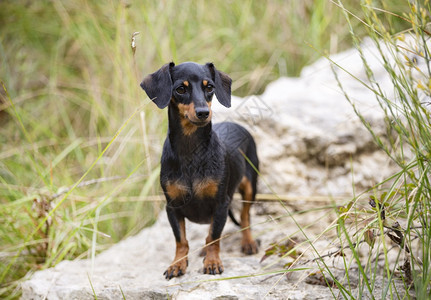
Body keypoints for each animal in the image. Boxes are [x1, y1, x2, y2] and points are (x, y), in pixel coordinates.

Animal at [141, 62, 260, 280]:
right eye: (180, 89)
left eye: (210, 87)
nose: (204, 112)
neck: (191, 151)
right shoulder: (172, 207)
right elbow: (181, 240)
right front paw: (177, 264)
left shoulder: (220, 204)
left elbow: (214, 236)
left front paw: (212, 262)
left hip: (250, 187)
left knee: (245, 217)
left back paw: (248, 243)